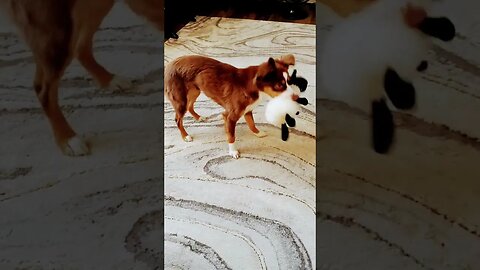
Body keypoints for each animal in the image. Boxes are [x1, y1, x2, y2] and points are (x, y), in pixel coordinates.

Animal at [0, 0, 164, 156]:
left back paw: (108, 79)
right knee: (44, 90)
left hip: (94, 6)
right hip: (58, 30)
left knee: (80, 48)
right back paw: (67, 139)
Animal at [163, 54, 294, 158]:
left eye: (289, 81)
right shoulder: (230, 116)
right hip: (181, 100)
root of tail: (168, 65)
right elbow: (231, 136)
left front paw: (258, 133)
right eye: (279, 85)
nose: (296, 98)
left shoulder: (247, 110)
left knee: (190, 106)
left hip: (195, 90)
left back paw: (199, 117)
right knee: (178, 119)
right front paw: (233, 152)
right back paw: (185, 136)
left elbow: (251, 123)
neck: (253, 87)